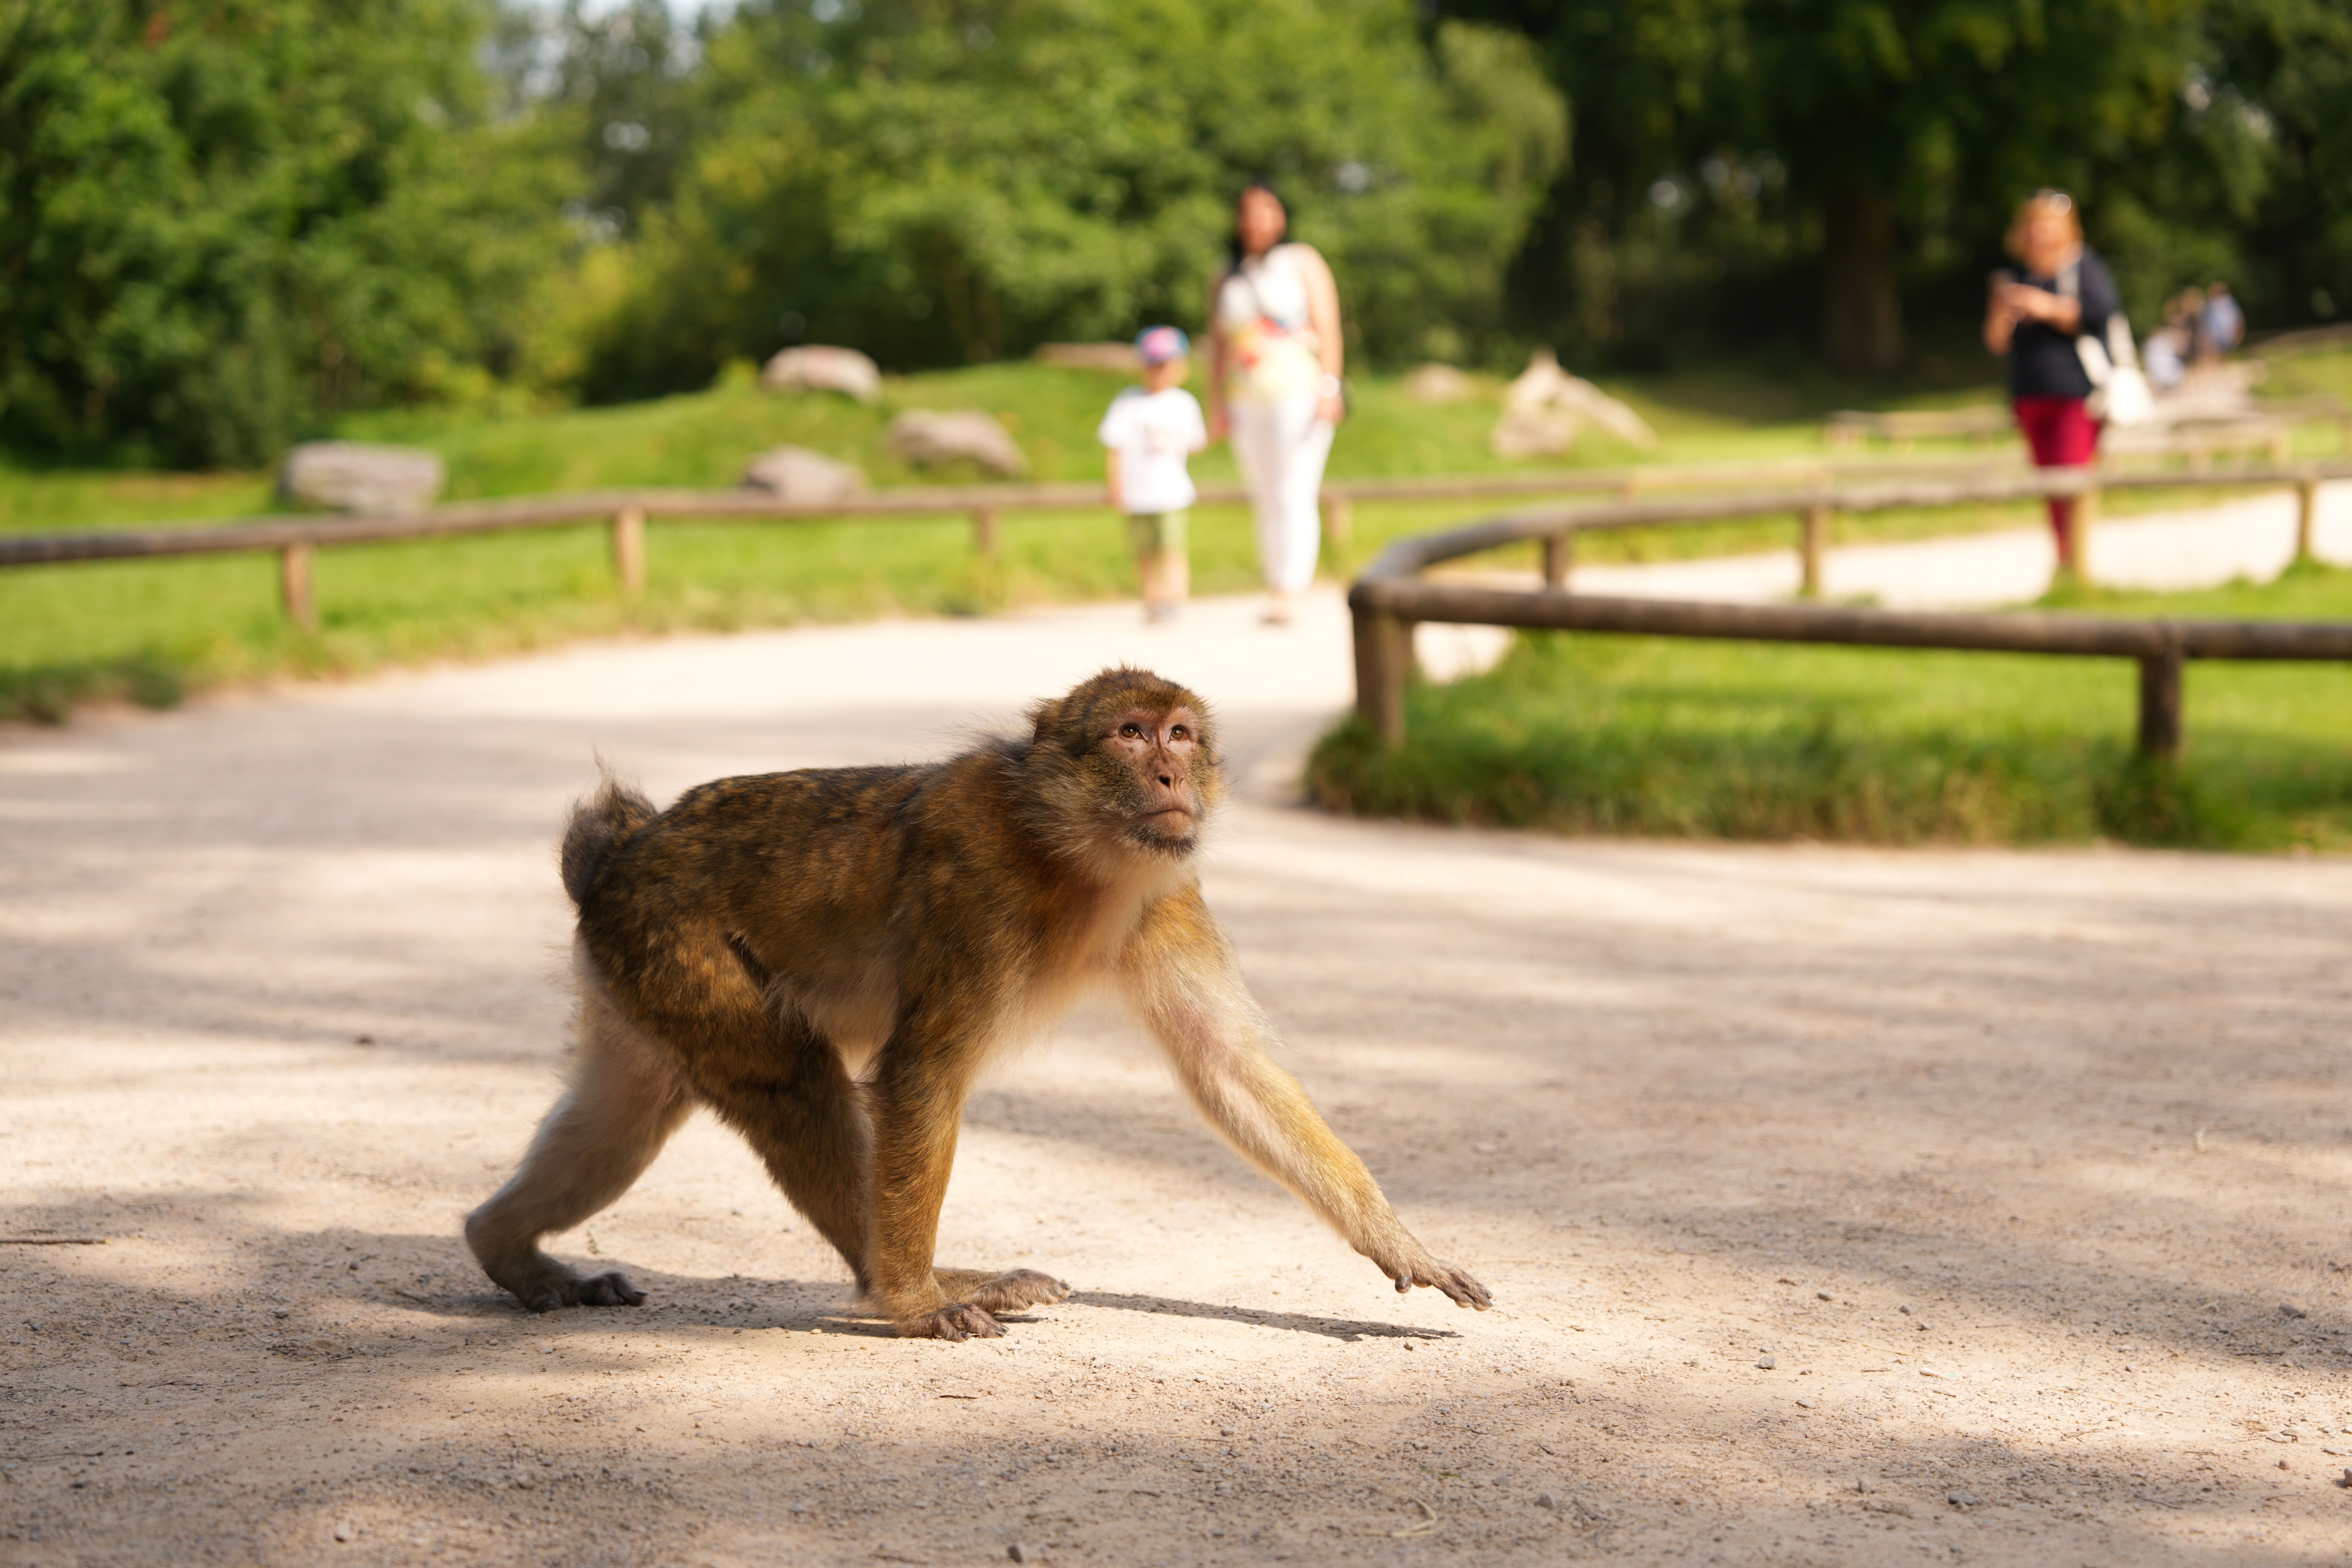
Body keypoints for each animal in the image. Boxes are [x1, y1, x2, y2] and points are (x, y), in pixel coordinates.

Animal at [465, 666, 1490, 1340]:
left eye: (1181, 735)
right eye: (1131, 734)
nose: (1170, 776)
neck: (1073, 858)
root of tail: (621, 855)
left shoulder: (1167, 901)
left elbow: (1226, 1067)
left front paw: (1397, 1241)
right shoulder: (980, 891)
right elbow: (922, 1074)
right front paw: (916, 1302)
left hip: (633, 977)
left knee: (623, 1118)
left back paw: (503, 1247)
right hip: (676, 946)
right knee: (791, 1084)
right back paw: (908, 1284)